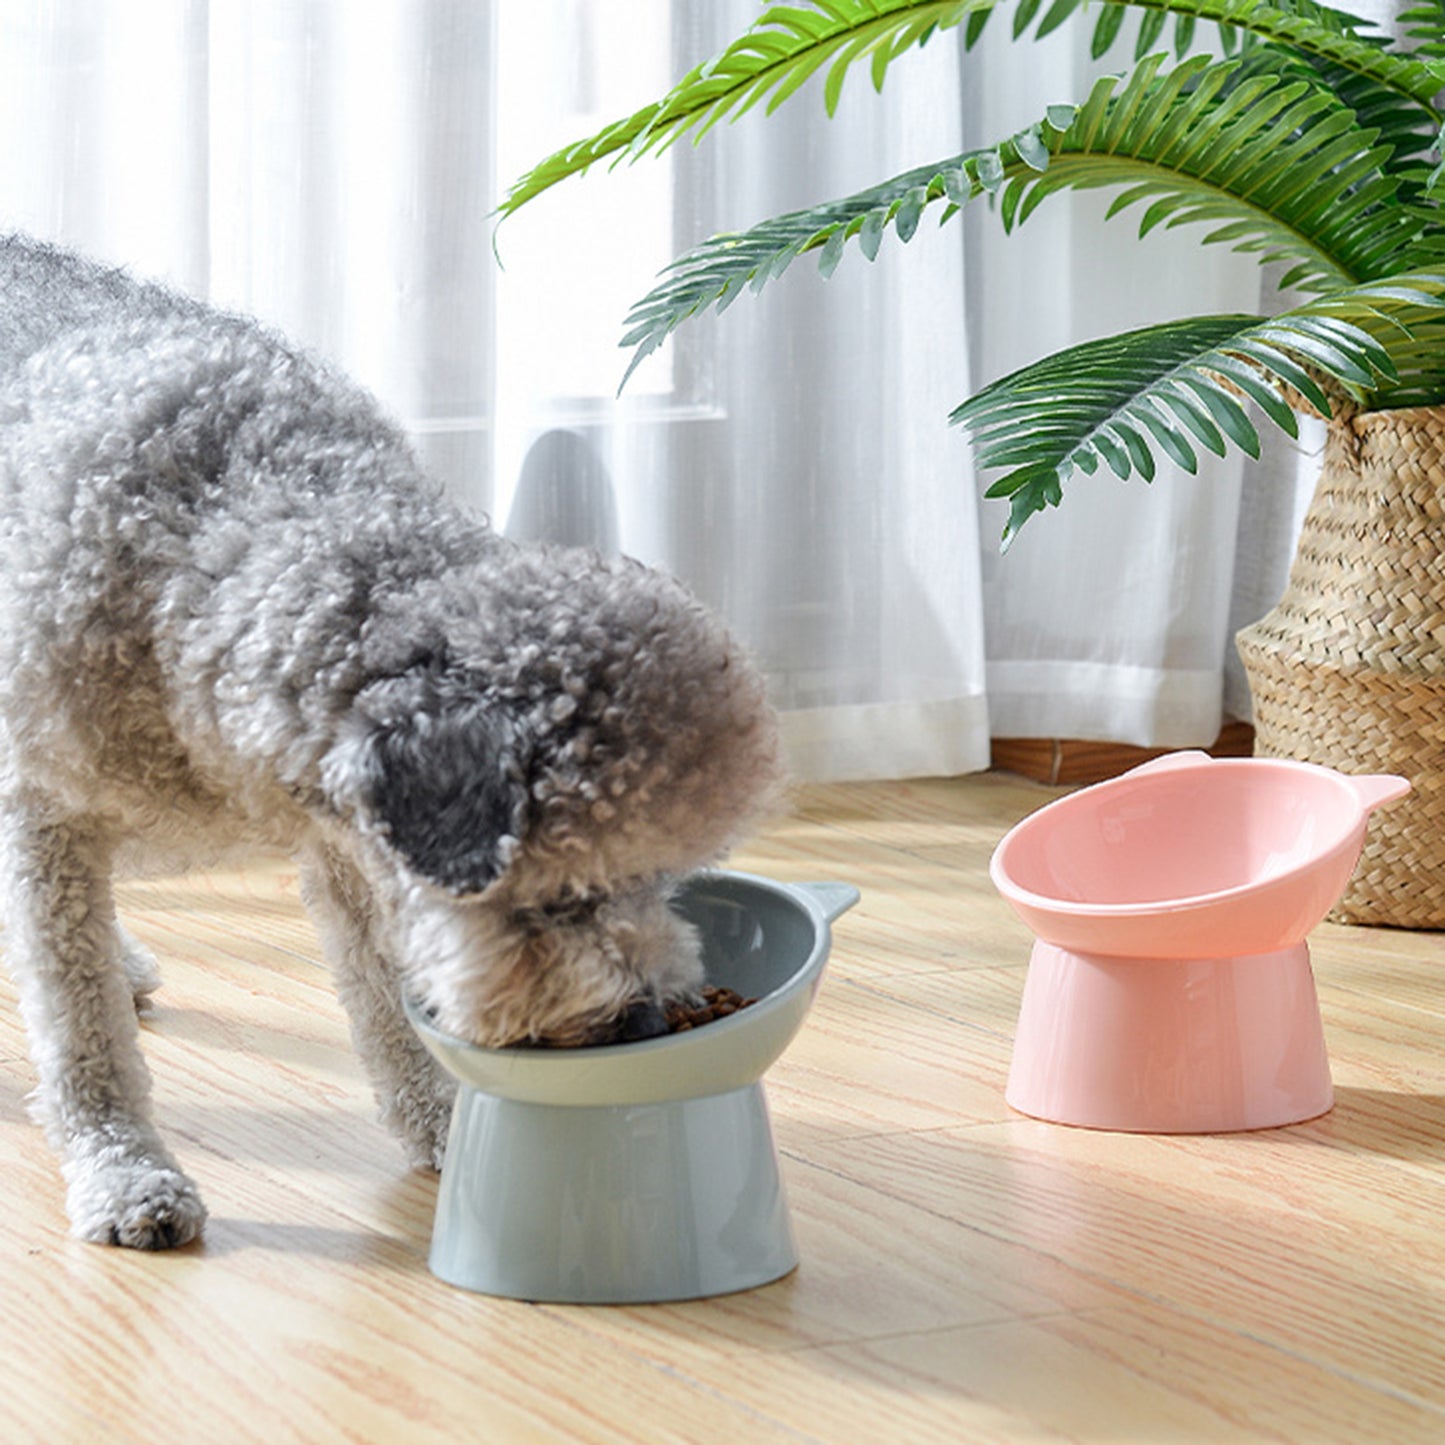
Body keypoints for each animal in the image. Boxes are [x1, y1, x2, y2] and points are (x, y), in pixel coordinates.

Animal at [0, 231, 786, 1248]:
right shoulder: (46, 822)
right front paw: (125, 1172)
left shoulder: (348, 843)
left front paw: (447, 1121)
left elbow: (386, 995)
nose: (646, 1021)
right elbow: (82, 1028)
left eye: (658, 879)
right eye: (564, 894)